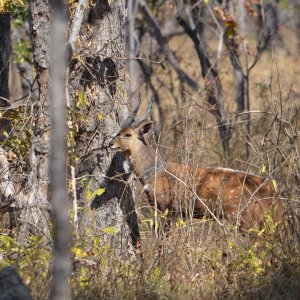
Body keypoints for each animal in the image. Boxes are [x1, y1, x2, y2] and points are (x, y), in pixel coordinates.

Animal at [109, 97, 282, 231]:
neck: (154, 172)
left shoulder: (168, 209)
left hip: (246, 219)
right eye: (118, 131)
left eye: (128, 134)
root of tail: (274, 194)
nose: (110, 143)